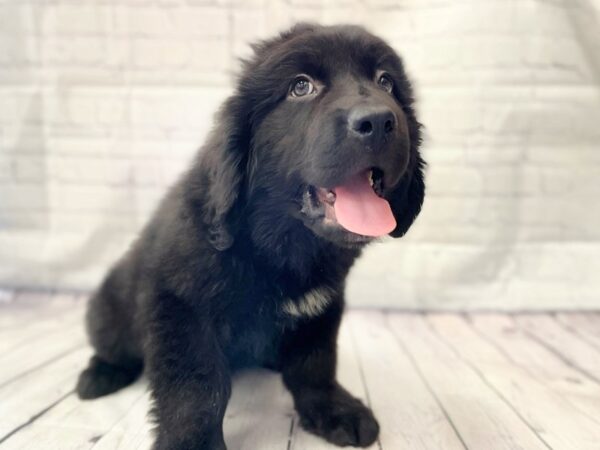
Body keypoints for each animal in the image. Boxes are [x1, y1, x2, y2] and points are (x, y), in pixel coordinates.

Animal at [77, 25, 426, 450]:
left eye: (386, 82)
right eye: (300, 87)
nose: (377, 121)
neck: (281, 245)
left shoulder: (322, 306)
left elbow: (315, 363)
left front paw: (332, 410)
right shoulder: (179, 306)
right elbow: (197, 387)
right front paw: (193, 443)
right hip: (109, 310)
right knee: (112, 346)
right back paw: (100, 374)